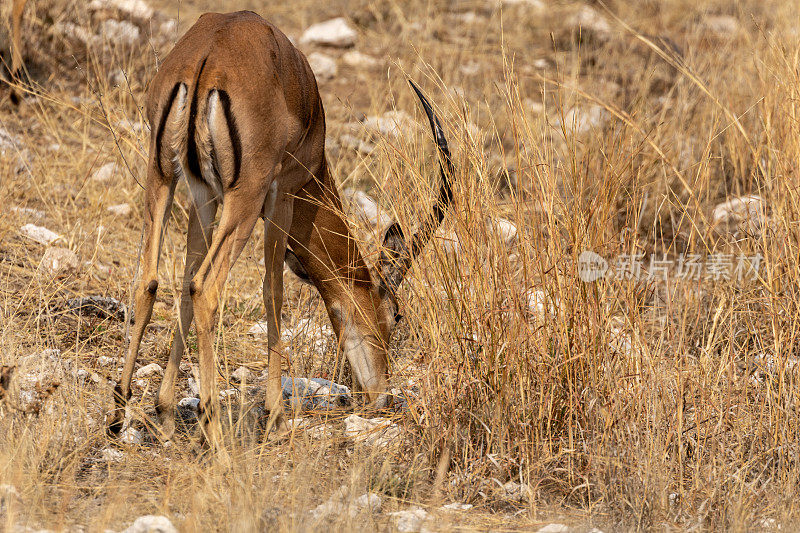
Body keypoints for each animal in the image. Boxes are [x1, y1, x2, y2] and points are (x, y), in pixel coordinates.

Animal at [108, 11, 454, 444]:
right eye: (397, 314)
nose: (380, 396)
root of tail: (206, 60)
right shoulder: (283, 194)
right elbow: (273, 291)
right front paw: (274, 415)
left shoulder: (203, 196)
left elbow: (185, 279)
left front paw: (166, 411)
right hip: (245, 197)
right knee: (207, 288)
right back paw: (215, 431)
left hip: (162, 177)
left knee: (151, 280)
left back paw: (118, 416)